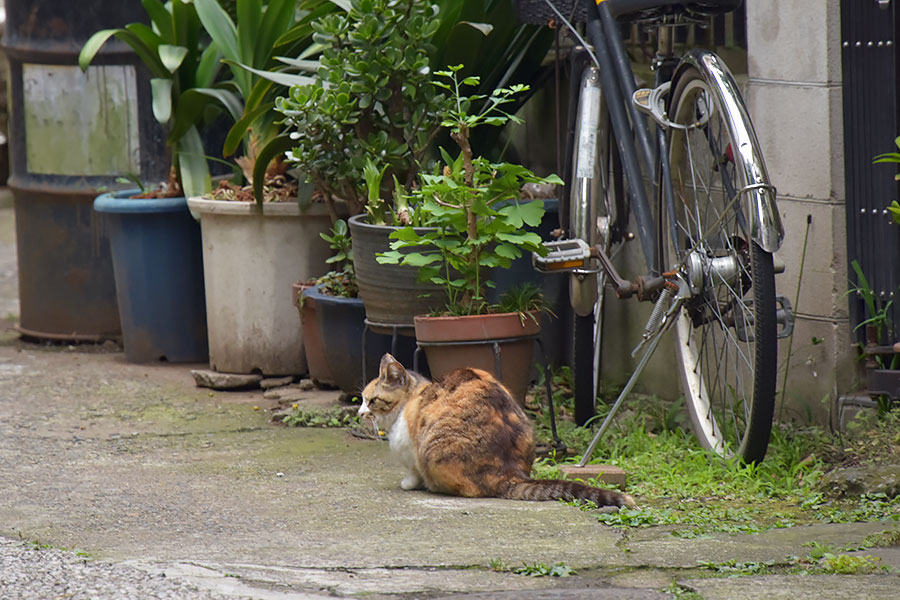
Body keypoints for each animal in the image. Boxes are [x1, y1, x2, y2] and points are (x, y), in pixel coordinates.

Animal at [356, 354, 636, 508]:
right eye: (361, 400)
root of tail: (509, 472)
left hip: (431, 451)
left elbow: (413, 472)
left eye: (371, 400)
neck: (414, 396)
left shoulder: (410, 447)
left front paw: (409, 483)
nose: (359, 413)